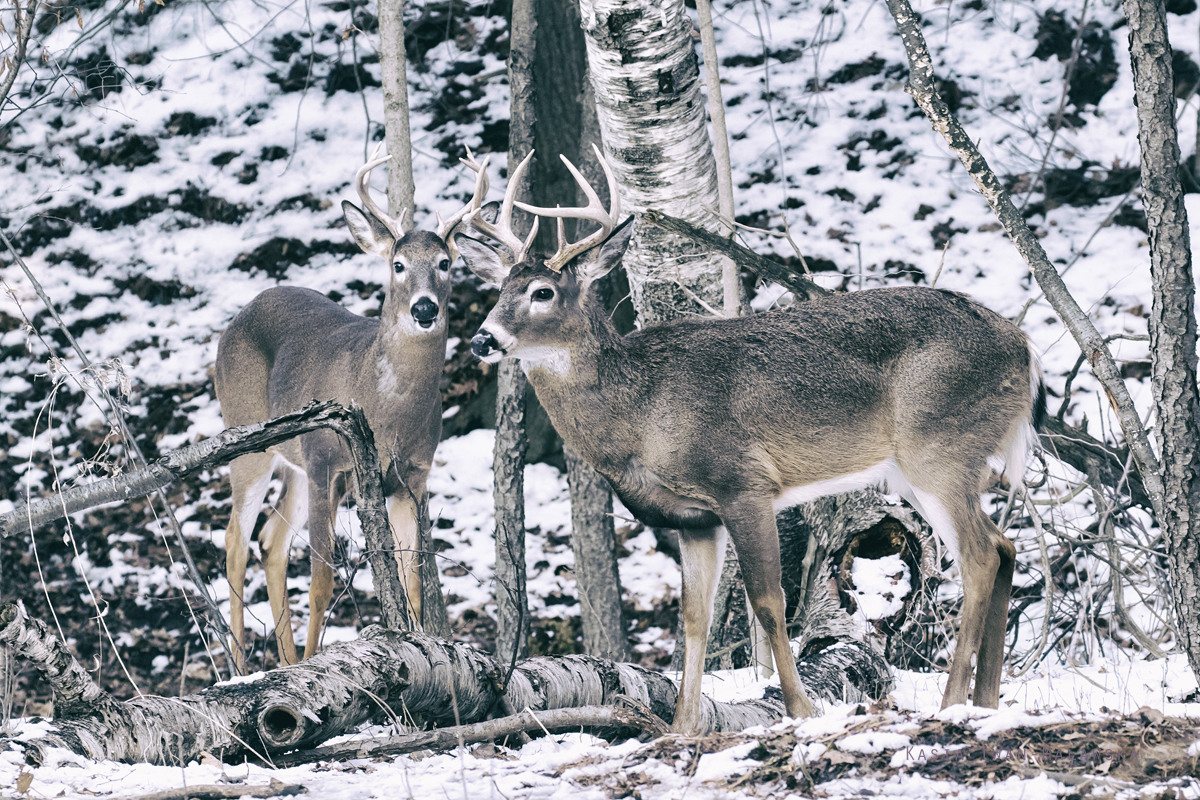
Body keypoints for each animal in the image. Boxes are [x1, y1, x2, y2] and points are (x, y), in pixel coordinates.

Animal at [213, 145, 489, 676]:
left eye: (445, 262)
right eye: (398, 264)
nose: (424, 309)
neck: (388, 413)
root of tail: (237, 317)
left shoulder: (411, 476)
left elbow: (412, 583)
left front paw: (419, 647)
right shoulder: (328, 460)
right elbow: (322, 582)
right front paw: (318, 664)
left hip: (295, 460)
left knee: (271, 540)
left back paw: (285, 660)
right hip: (249, 439)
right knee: (236, 539)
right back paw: (243, 665)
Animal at [453, 146, 1046, 734]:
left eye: (543, 293)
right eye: (498, 291)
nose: (482, 338)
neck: (640, 416)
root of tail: (1024, 345)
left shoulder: (742, 483)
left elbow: (768, 601)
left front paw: (801, 710)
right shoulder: (696, 519)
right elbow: (694, 619)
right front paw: (683, 727)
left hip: (939, 447)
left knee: (979, 556)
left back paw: (952, 703)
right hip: (916, 469)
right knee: (1004, 545)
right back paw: (986, 700)